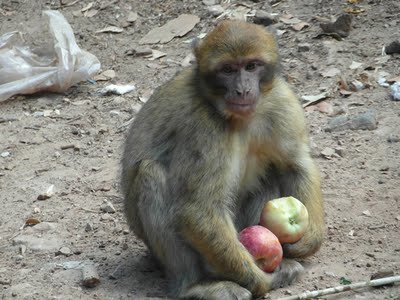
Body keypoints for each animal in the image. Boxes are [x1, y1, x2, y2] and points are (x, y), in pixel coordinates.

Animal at [122, 19, 324, 298]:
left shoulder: (282, 101)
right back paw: (194, 285)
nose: (242, 90)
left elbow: (295, 166)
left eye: (251, 66)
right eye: (227, 70)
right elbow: (198, 208)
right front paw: (262, 280)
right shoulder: (203, 128)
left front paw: (309, 240)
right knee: (151, 173)